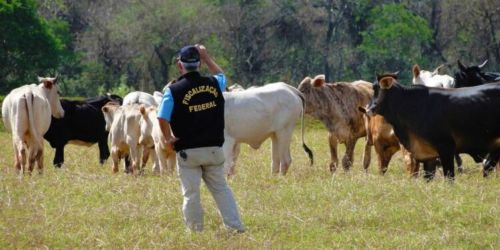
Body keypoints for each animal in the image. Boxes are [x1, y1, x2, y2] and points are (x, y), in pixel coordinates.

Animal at [366, 73, 500, 180]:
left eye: (377, 90)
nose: (368, 109)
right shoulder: (428, 156)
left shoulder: (446, 147)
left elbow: (449, 177)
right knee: (488, 167)